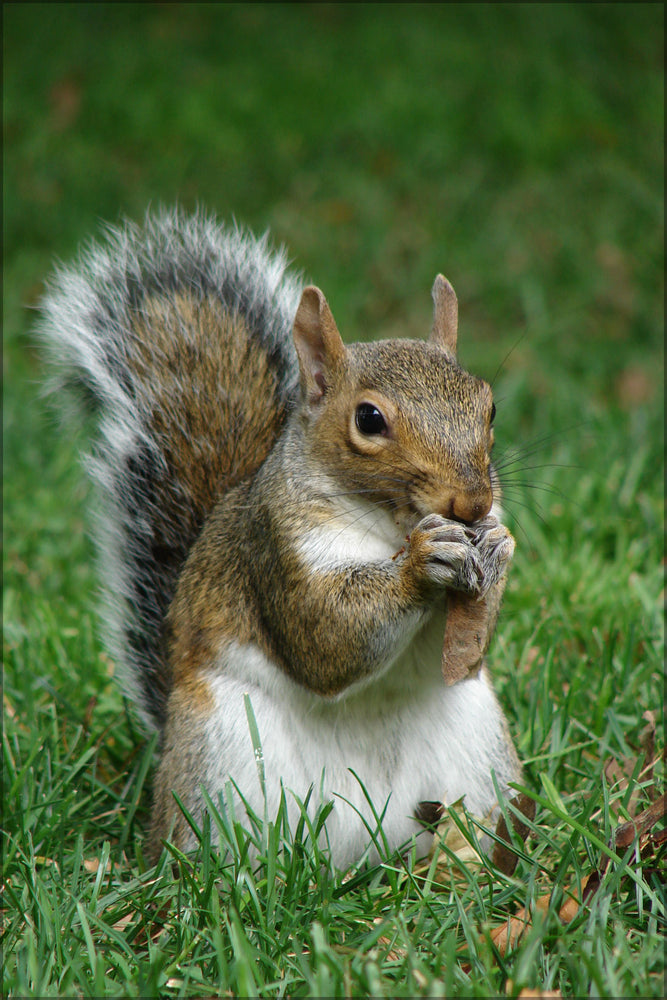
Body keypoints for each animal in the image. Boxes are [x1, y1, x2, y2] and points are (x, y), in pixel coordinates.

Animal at [39, 207, 521, 868]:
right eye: (369, 419)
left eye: (490, 406)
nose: (472, 503)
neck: (388, 526)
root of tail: (361, 852)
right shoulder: (274, 548)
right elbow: (325, 637)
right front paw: (422, 563)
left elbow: (465, 653)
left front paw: (496, 548)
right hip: (220, 757)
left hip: (478, 755)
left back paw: (466, 865)